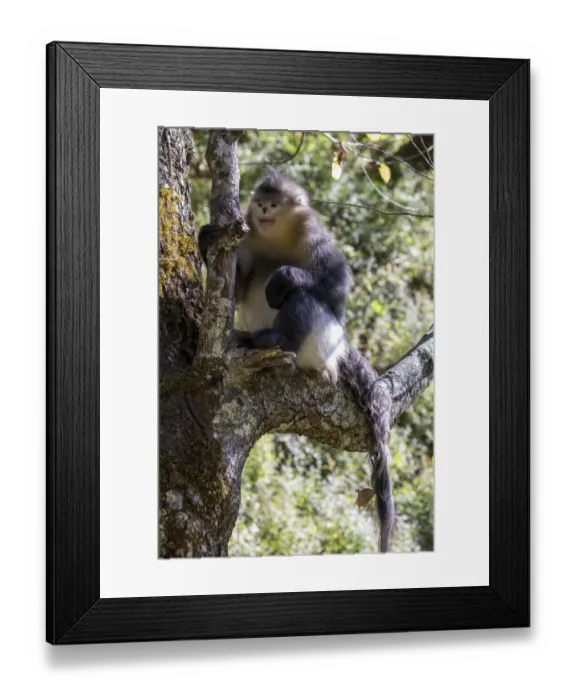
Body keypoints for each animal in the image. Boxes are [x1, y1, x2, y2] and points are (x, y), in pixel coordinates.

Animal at [198, 168, 395, 552]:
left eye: (273, 204)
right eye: (260, 203)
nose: (262, 210)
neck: (277, 235)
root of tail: (339, 350)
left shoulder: (314, 235)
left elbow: (335, 286)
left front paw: (284, 278)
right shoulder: (245, 238)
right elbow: (236, 288)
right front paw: (206, 239)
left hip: (323, 341)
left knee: (301, 297)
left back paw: (277, 340)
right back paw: (251, 340)